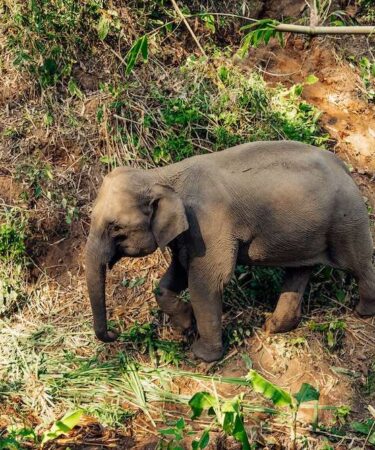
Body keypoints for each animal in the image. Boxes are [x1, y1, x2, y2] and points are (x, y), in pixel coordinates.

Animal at [85, 141, 375, 362]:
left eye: (116, 228)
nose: (115, 333)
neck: (162, 175)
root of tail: (346, 167)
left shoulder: (209, 223)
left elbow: (206, 281)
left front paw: (202, 356)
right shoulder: (188, 232)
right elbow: (178, 271)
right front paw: (186, 323)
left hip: (347, 220)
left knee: (358, 264)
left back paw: (363, 311)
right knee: (299, 270)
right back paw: (274, 326)